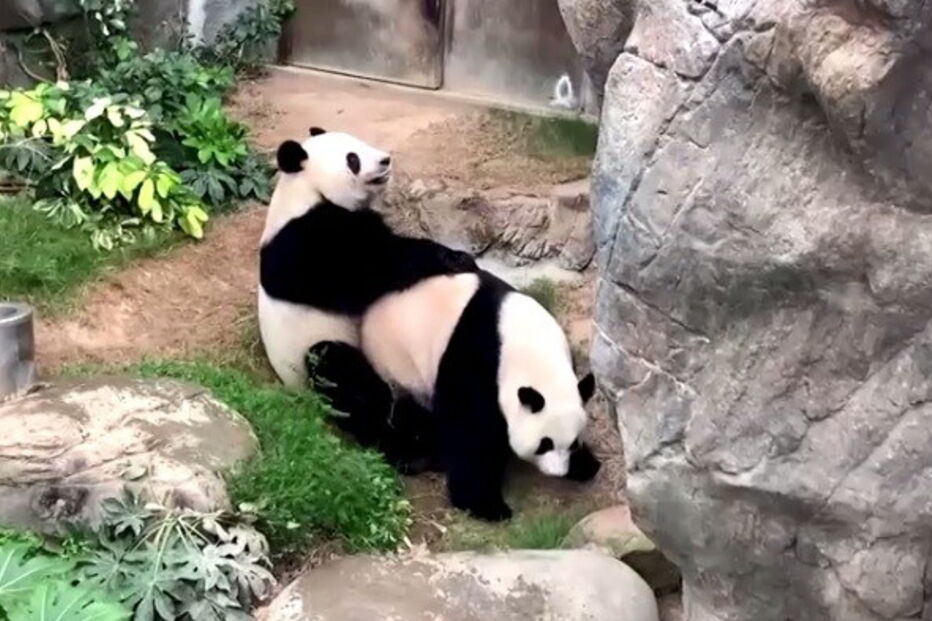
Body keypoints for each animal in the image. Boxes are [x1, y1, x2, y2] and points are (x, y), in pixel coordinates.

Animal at [258, 127, 476, 447]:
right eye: (353, 159)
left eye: (359, 142)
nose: (385, 160)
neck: (305, 190)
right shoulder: (308, 241)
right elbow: (372, 269)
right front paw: (456, 258)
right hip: (313, 355)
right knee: (344, 378)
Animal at [359, 270, 602, 521]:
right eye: (544, 444)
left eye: (573, 443)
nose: (557, 472)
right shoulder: (476, 361)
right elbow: (470, 432)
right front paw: (486, 505)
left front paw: (585, 464)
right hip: (397, 367)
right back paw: (415, 456)